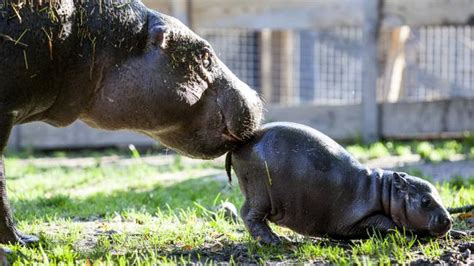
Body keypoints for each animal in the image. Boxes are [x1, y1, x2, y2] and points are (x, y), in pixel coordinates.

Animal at [228, 121, 454, 244]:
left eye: (439, 194)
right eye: (425, 201)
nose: (449, 220)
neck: (385, 191)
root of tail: (243, 142)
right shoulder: (363, 216)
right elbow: (387, 223)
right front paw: (405, 236)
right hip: (259, 193)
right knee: (250, 214)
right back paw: (273, 240)